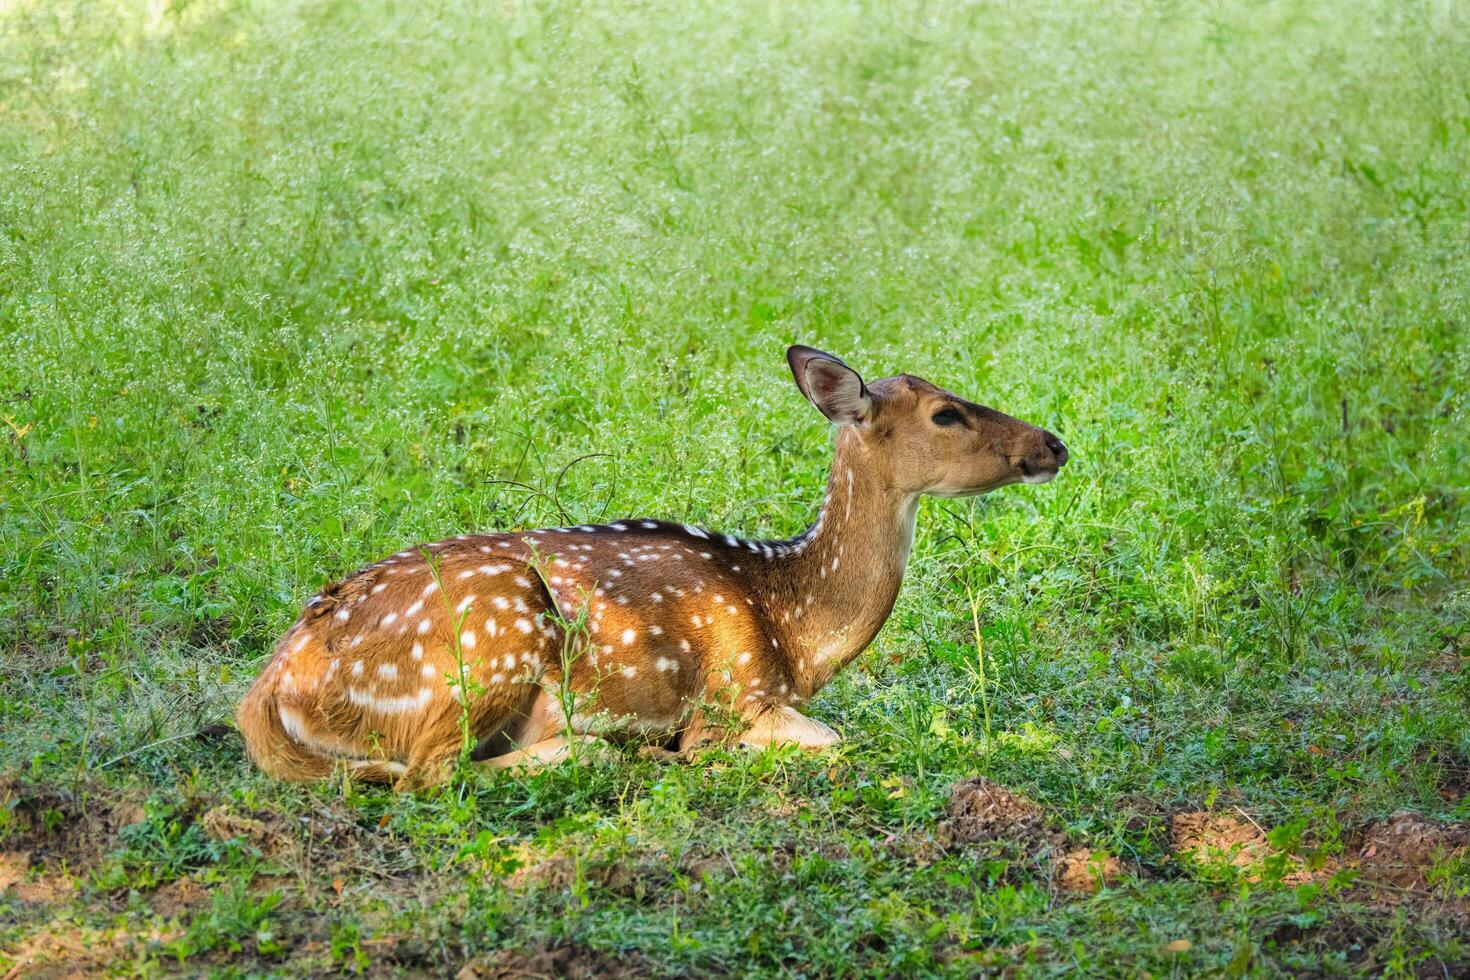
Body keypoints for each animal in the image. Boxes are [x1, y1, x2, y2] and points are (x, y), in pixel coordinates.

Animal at [238, 346, 1070, 787]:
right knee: (432, 774)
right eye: (946, 413)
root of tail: (273, 686)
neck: (795, 628)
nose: (1053, 443)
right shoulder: (734, 694)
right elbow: (823, 738)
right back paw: (595, 748)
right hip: (487, 644)